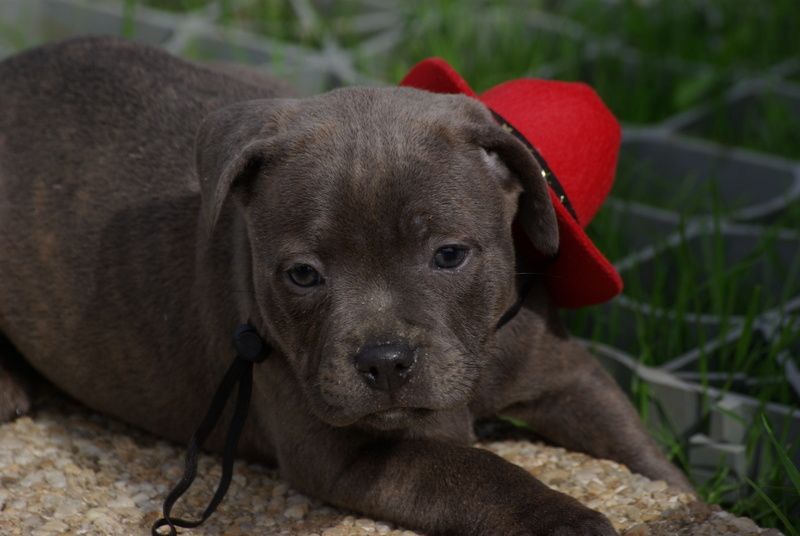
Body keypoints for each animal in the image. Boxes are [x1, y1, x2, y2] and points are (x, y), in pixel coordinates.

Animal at [0, 36, 691, 535]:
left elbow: (637, 446)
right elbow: (479, 470)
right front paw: (563, 518)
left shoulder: (566, 372)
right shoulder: (346, 449)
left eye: (448, 255)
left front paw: (680, 491)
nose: (385, 362)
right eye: (303, 274)